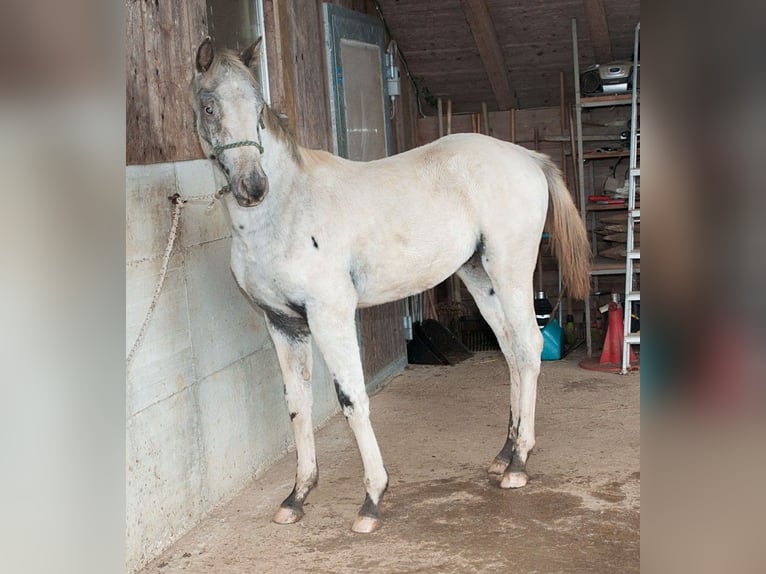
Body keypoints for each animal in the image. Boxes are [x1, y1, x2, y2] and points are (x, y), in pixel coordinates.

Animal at [192, 39, 592, 536]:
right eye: (209, 106)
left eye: (258, 108)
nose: (252, 187)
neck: (284, 211)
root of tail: (528, 159)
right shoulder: (284, 324)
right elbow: (297, 405)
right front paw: (297, 497)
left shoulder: (330, 315)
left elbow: (351, 398)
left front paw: (372, 500)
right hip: (479, 277)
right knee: (512, 353)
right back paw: (504, 455)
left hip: (510, 270)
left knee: (530, 347)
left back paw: (519, 464)